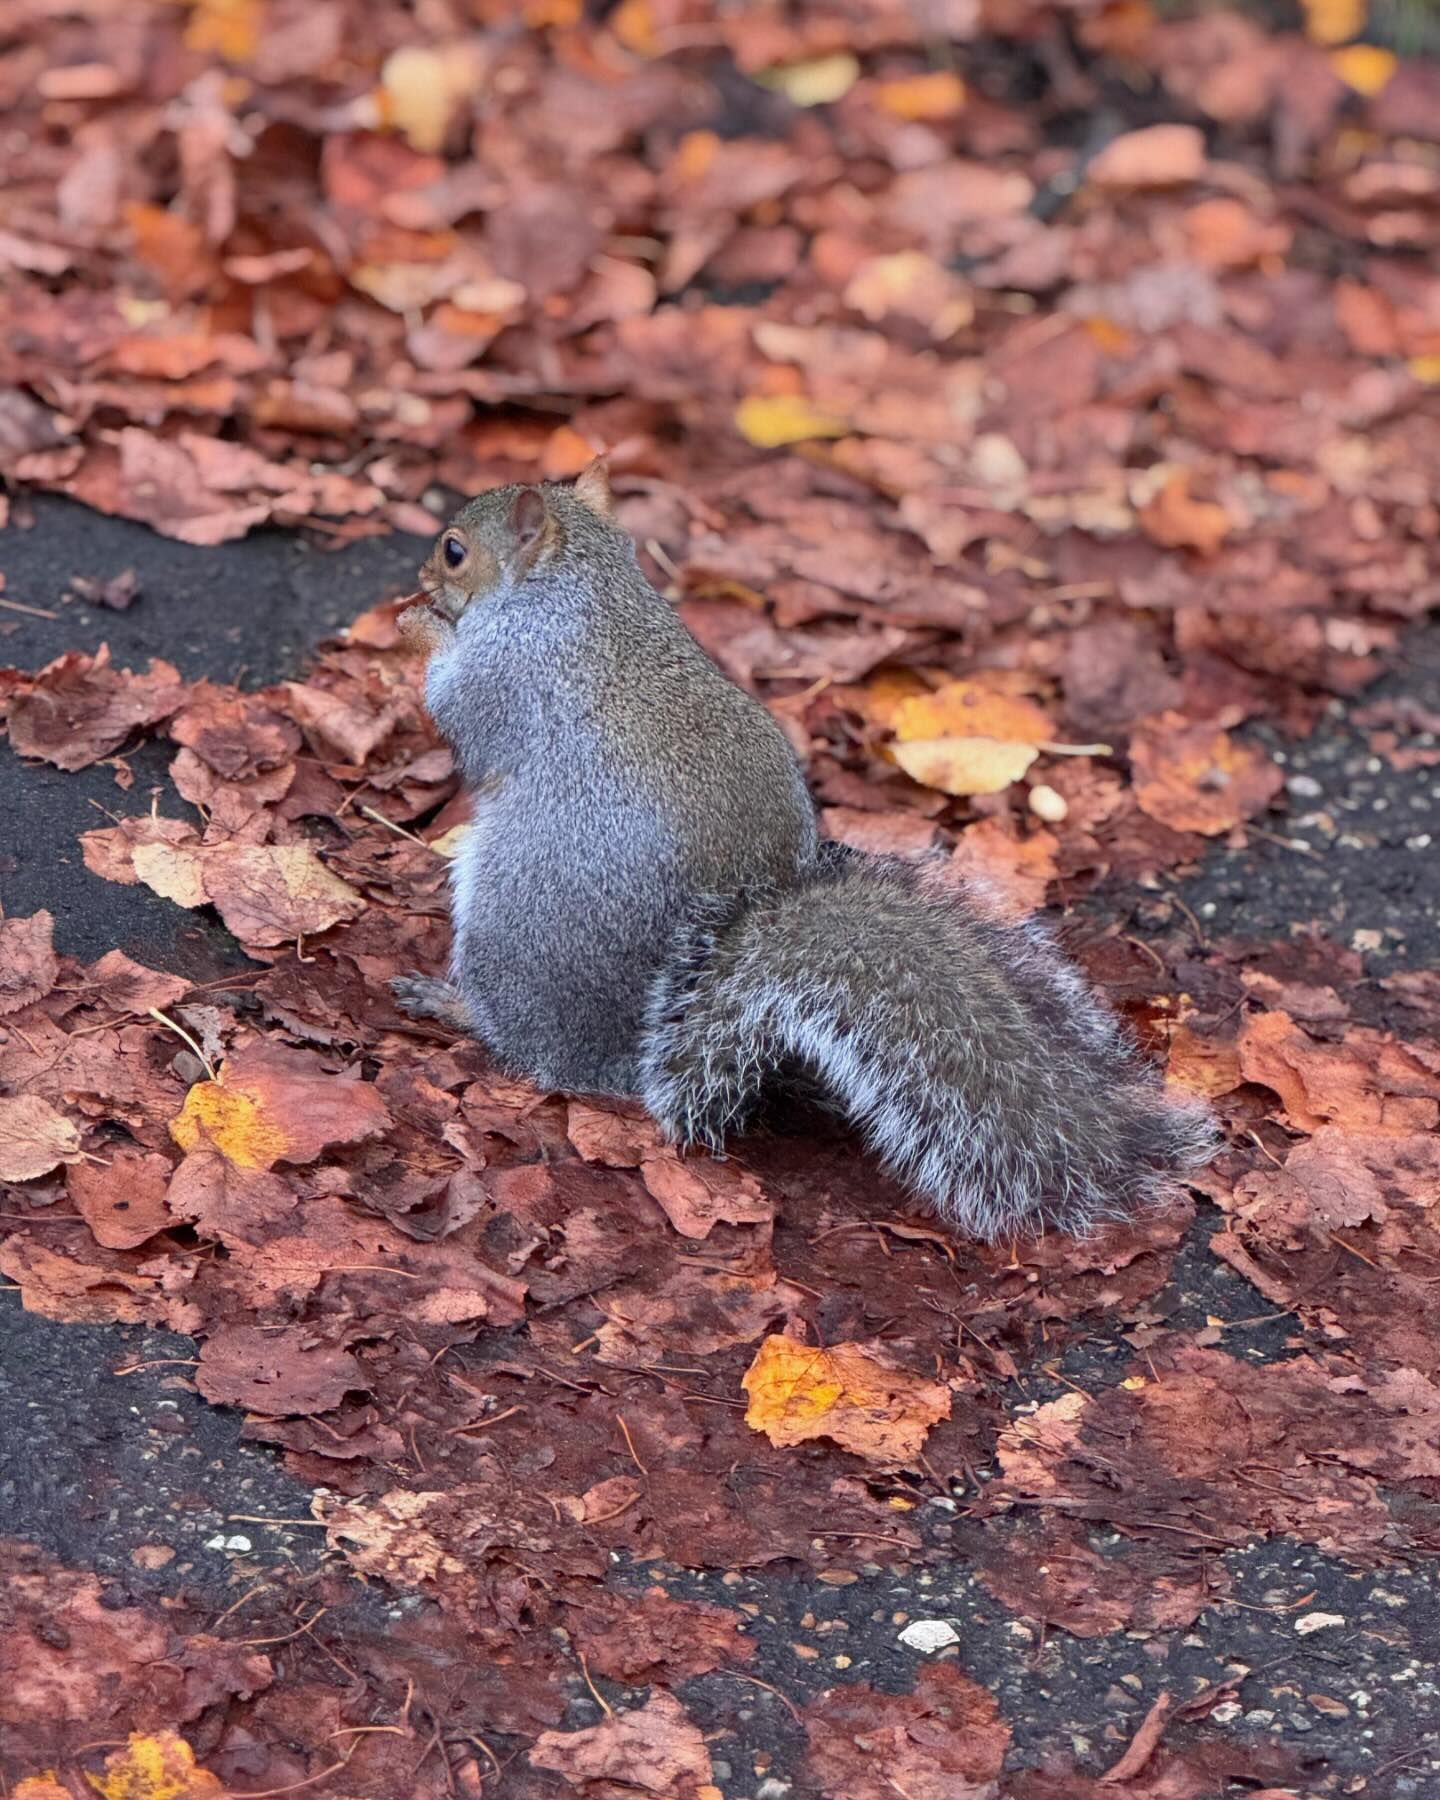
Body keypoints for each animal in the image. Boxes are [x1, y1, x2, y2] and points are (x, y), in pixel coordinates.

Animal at [388, 464, 1209, 1245]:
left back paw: (455, 1004)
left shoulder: (509, 676)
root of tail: (626, 1060)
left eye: (455, 550)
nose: (420, 575)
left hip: (510, 921)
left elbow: (458, 708)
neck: (579, 590)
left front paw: (419, 627)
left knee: (523, 1042)